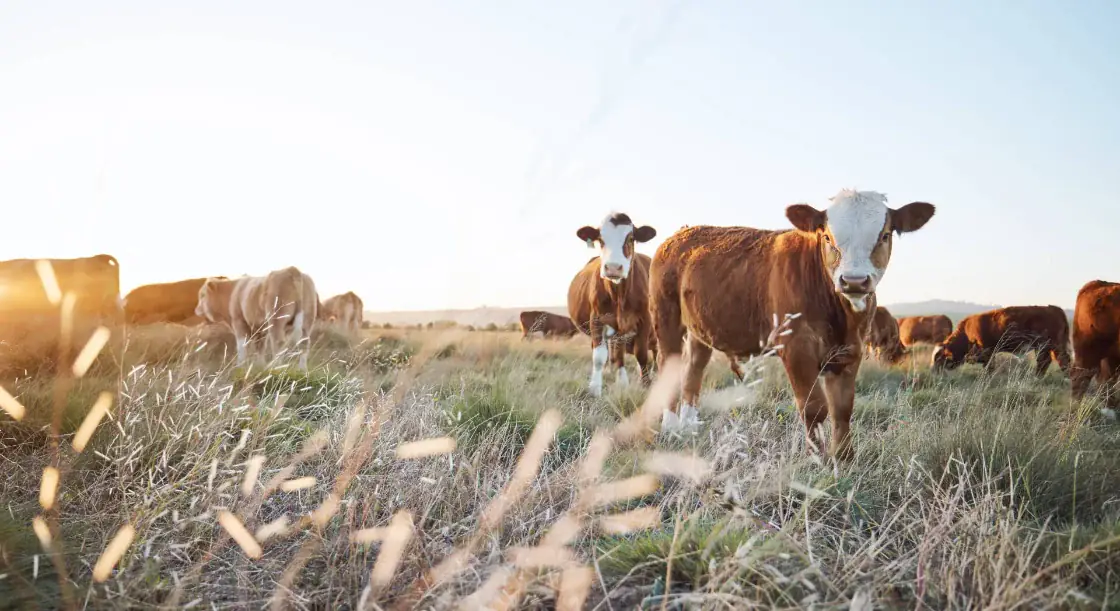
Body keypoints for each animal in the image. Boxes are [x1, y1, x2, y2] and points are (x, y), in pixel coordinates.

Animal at [567, 212, 657, 397]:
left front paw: (645, 384)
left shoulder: (645, 319)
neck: (619, 295)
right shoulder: (597, 319)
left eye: (631, 238)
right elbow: (599, 357)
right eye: (601, 240)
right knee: (615, 356)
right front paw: (595, 389)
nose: (614, 268)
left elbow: (641, 354)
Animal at [650, 189, 935, 459]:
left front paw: (844, 460)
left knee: (693, 369)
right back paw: (671, 426)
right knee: (668, 364)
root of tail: (682, 233)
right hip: (666, 317)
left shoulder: (851, 350)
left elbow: (842, 409)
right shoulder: (796, 348)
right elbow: (814, 408)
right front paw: (817, 460)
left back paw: (689, 425)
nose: (854, 281)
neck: (839, 314)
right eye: (828, 237)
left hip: (700, 329)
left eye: (884, 235)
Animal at [931, 305, 1071, 376]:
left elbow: (989, 366)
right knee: (1047, 361)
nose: (933, 371)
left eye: (939, 357)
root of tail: (1055, 308)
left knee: (1057, 360)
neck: (967, 331)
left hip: (1051, 345)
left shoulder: (987, 351)